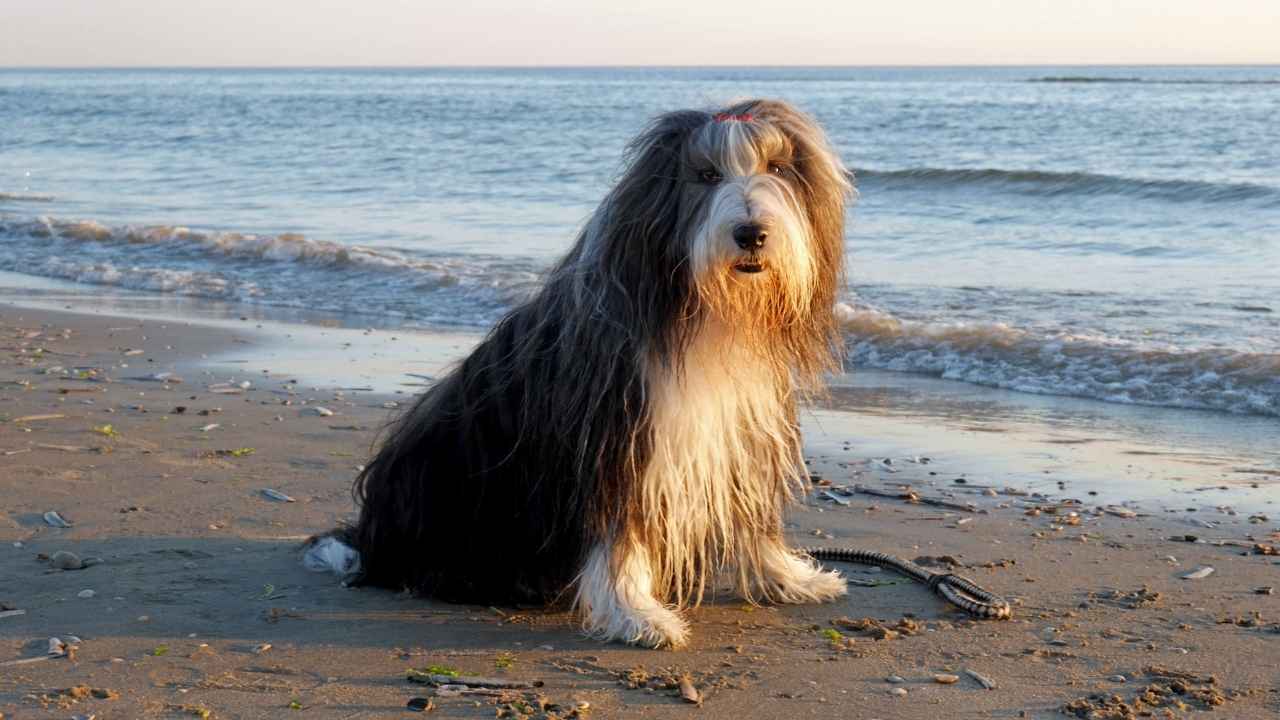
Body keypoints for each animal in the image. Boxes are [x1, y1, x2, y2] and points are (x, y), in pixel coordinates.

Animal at [304, 99, 855, 645]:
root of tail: (371, 538)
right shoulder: (618, 441)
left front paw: (787, 577)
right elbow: (618, 535)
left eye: (778, 168)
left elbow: (751, 514)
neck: (705, 312)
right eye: (705, 174)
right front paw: (637, 614)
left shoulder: (742, 431)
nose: (751, 234)